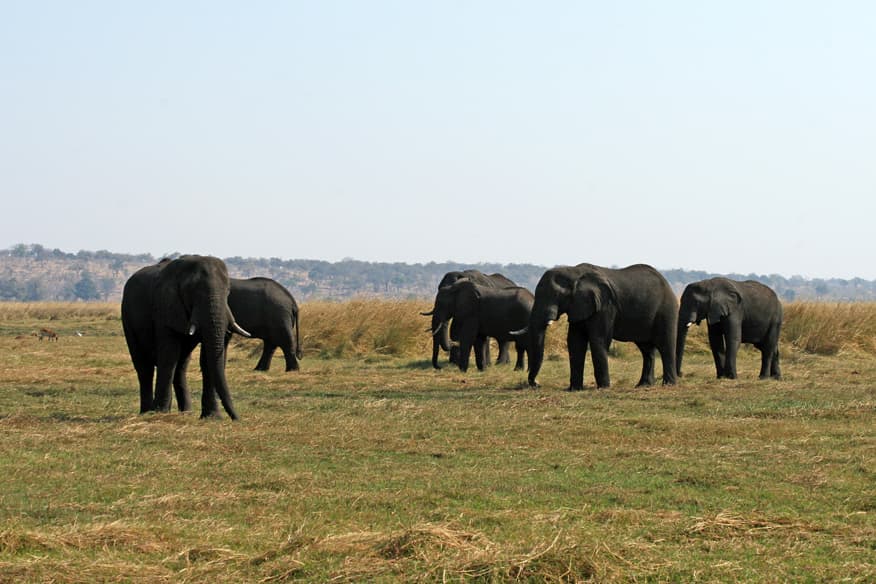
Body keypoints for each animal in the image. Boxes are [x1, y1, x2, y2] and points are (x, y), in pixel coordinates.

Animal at [121, 255, 250, 420]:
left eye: (228, 292)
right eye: (194, 293)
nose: (237, 419)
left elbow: (206, 360)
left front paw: (212, 418)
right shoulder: (165, 307)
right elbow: (169, 356)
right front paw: (160, 413)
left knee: (181, 365)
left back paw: (186, 412)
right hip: (127, 318)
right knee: (144, 367)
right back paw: (147, 412)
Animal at [522, 263, 678, 390]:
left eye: (555, 295)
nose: (536, 384)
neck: (574, 272)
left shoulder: (605, 306)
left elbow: (599, 340)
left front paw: (603, 388)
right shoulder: (578, 306)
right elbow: (575, 342)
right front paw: (574, 389)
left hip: (667, 310)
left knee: (665, 345)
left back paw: (669, 384)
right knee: (646, 349)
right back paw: (643, 385)